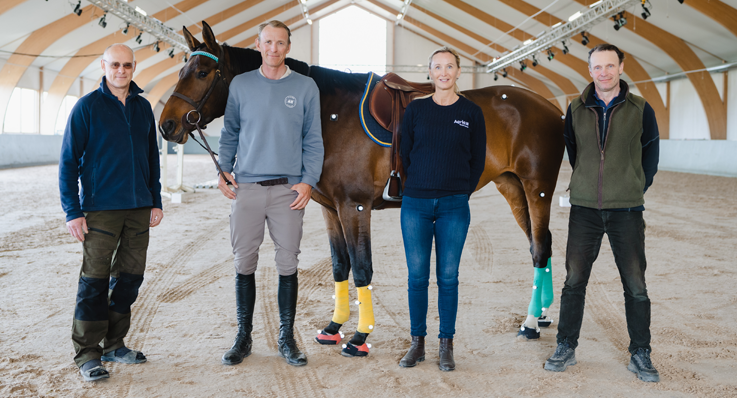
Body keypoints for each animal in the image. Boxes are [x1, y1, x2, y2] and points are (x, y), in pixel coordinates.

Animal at [158, 21, 564, 356]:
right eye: (181, 70)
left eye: (202, 72)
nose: (166, 125)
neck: (328, 112)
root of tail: (550, 106)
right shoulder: (329, 208)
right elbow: (341, 267)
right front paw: (334, 327)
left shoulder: (354, 206)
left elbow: (363, 269)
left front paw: (360, 336)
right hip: (512, 188)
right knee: (537, 245)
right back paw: (542, 315)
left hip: (538, 189)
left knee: (540, 246)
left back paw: (531, 323)